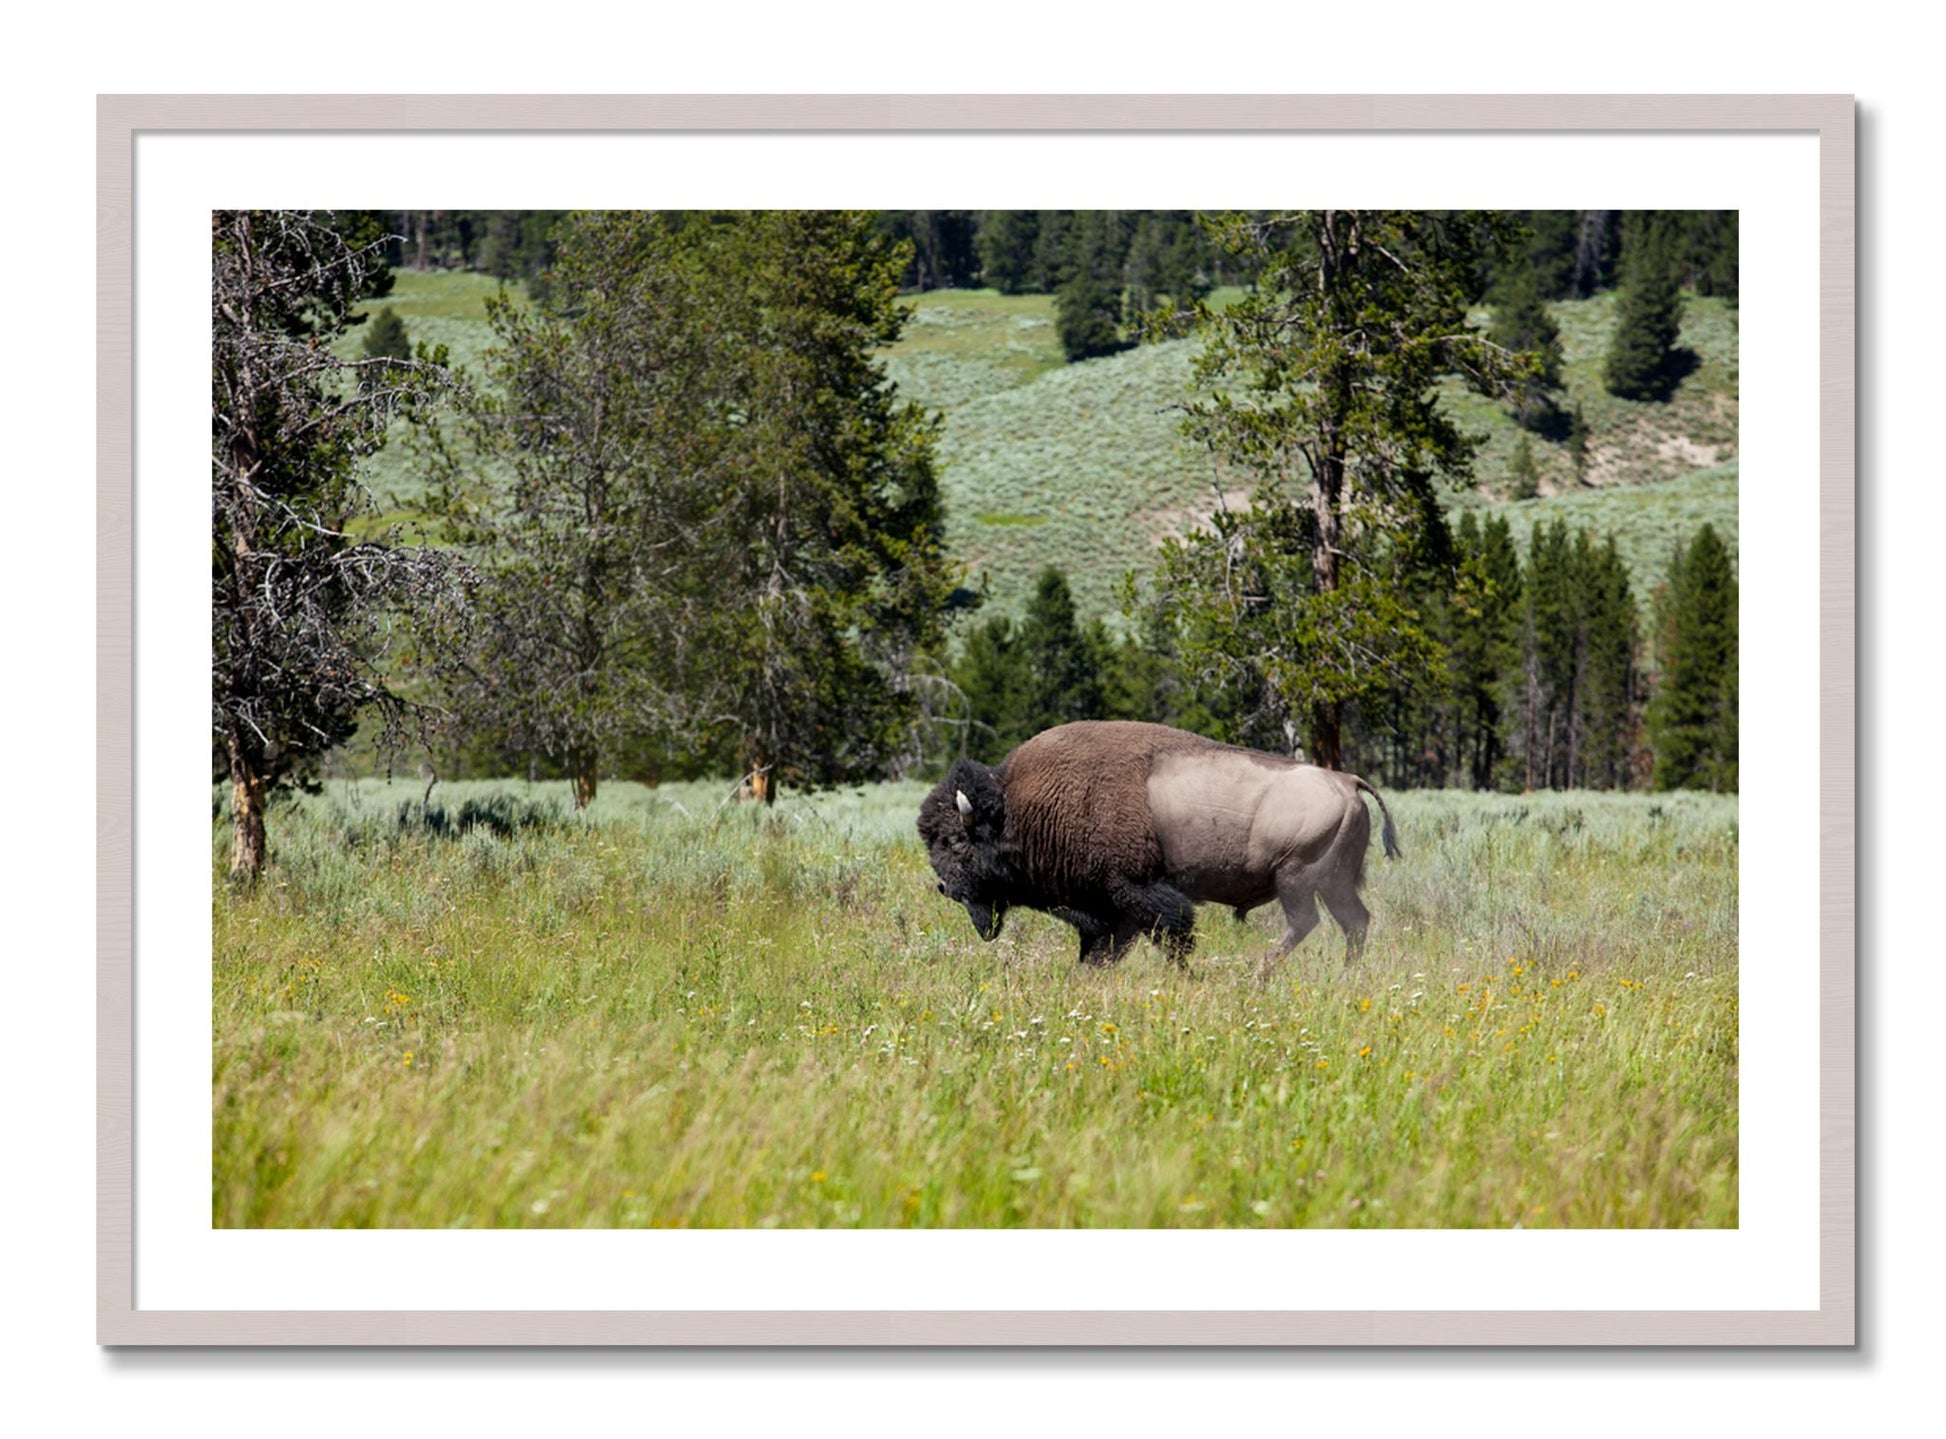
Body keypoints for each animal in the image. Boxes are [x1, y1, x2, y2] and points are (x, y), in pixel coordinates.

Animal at [917, 720, 1399, 975]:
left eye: (955, 841)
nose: (945, 887)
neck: (1019, 807)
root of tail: (1346, 781)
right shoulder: (1108, 911)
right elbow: (1102, 949)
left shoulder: (1137, 893)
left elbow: (1172, 935)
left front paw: (1184, 976)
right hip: (1334, 883)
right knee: (1354, 922)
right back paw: (1345, 975)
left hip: (1296, 878)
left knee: (1306, 922)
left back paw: (1258, 973)